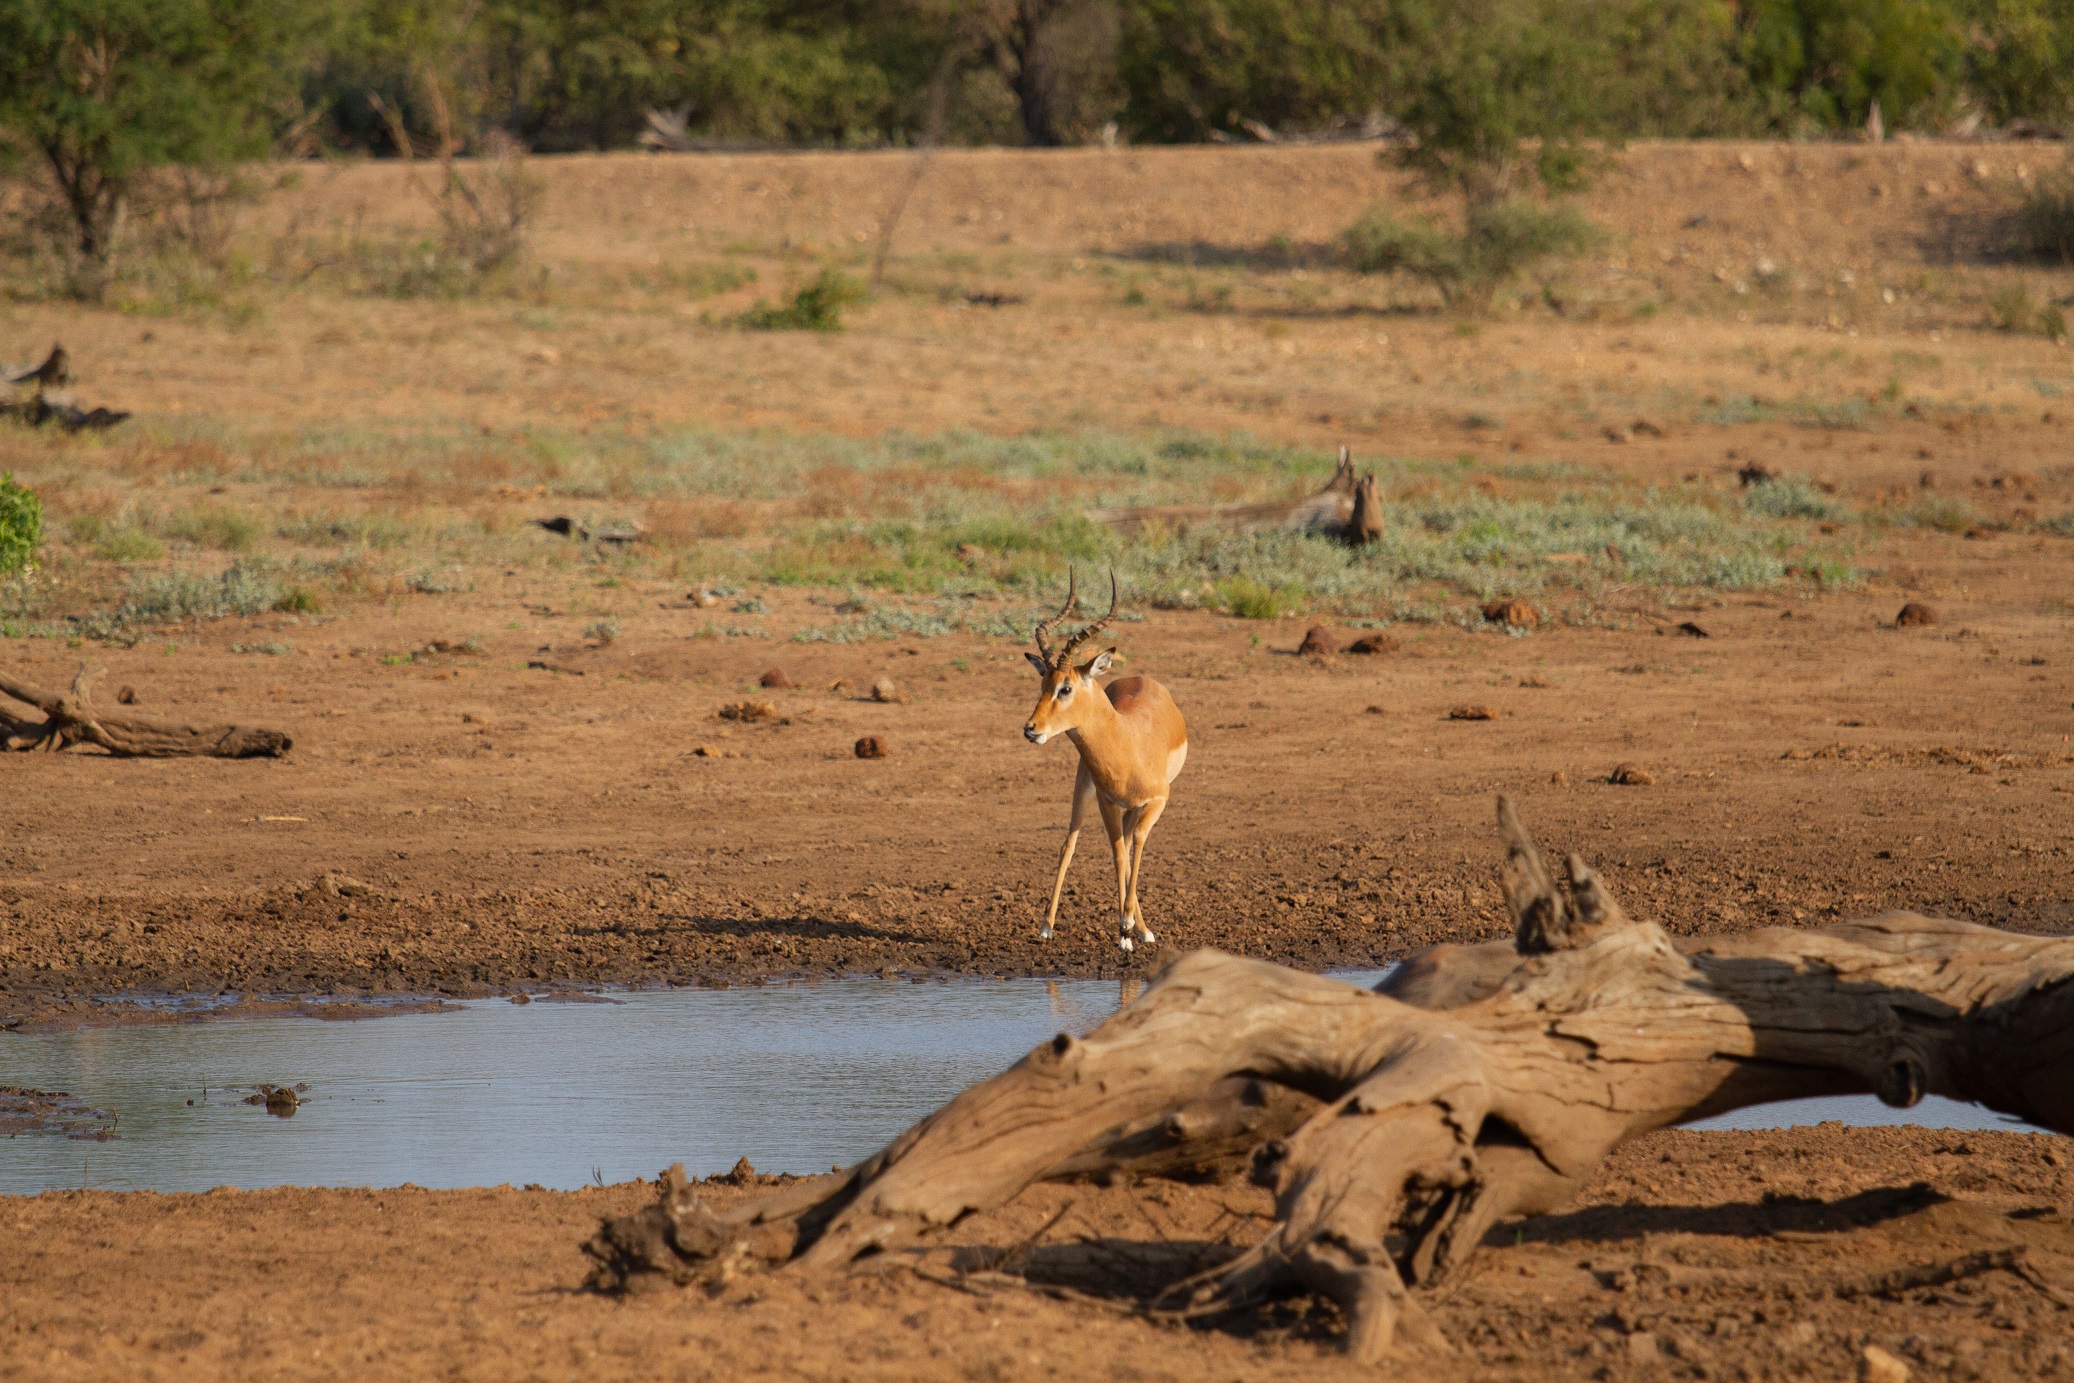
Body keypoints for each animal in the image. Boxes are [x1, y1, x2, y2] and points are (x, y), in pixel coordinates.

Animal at [1023, 571, 1189, 951]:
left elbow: (1135, 845)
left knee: (1128, 843)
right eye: (1043, 684)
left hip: (1129, 807)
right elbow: (1118, 854)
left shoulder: (1156, 801)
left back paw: (1140, 928)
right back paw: (1048, 926)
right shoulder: (1107, 802)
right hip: (1084, 787)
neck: (1128, 748)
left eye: (1065, 688)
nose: (1031, 729)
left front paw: (1129, 926)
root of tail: (1138, 678)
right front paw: (1124, 930)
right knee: (1071, 843)